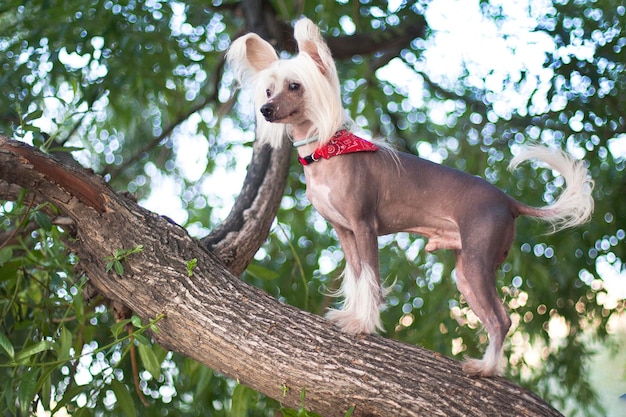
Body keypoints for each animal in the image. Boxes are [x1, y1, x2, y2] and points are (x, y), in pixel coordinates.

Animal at [227, 17, 592, 376]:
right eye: (268, 90)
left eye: (294, 86)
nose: (265, 109)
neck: (327, 153)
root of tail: (508, 201)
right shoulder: (345, 232)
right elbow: (357, 277)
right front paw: (352, 315)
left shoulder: (365, 226)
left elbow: (371, 278)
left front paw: (363, 325)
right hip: (466, 273)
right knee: (494, 319)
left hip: (477, 262)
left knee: (502, 320)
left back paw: (486, 368)